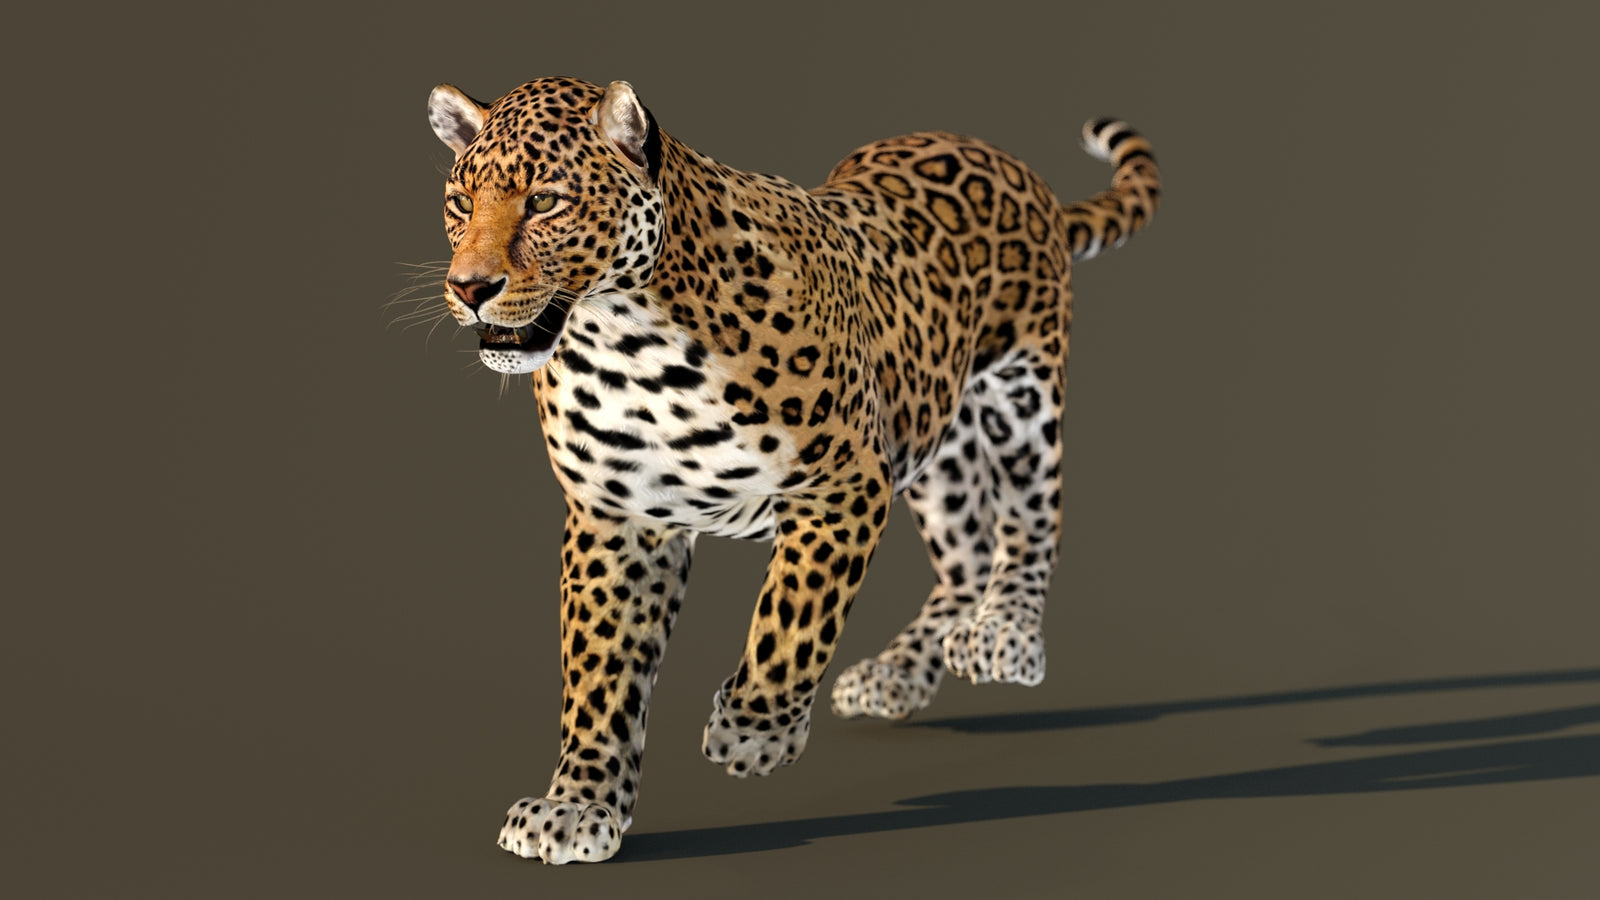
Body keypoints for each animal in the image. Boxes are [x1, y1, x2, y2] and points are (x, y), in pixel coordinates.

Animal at [420, 75, 1160, 864]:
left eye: (546, 201)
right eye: (460, 202)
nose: (470, 288)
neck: (625, 340)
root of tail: (1008, 161)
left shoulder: (843, 482)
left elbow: (793, 617)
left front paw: (753, 733)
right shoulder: (617, 519)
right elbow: (600, 673)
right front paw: (577, 804)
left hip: (1022, 395)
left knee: (1031, 518)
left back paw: (1005, 636)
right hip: (934, 428)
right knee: (964, 554)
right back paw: (897, 674)